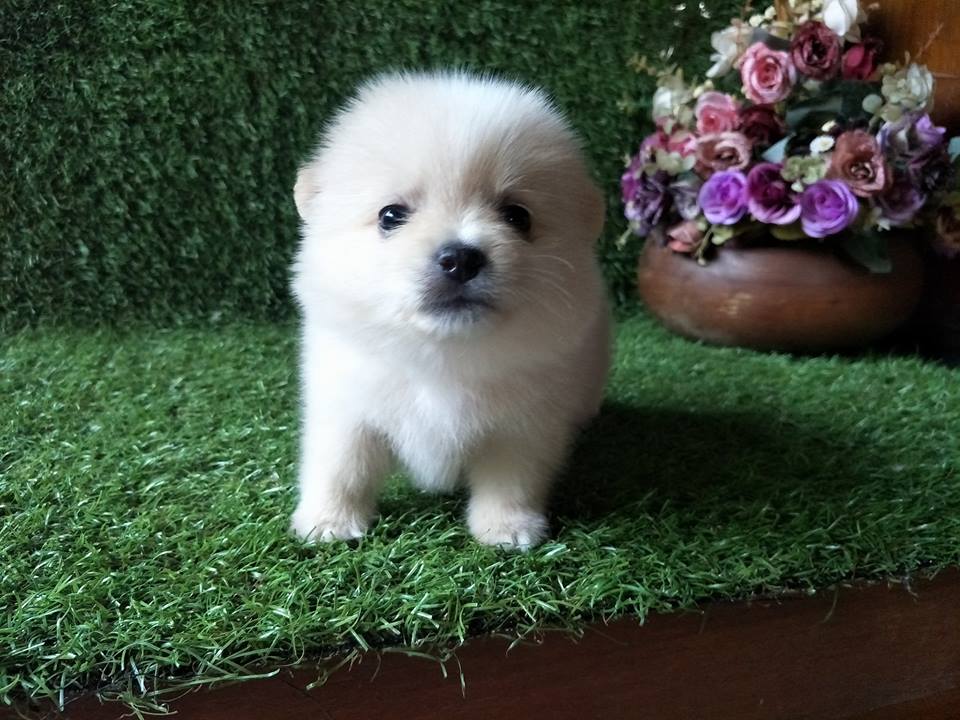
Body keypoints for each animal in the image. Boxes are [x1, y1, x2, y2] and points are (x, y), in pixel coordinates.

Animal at [289, 71, 610, 548]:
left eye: (518, 216)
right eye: (390, 216)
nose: (460, 258)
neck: (443, 356)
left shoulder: (525, 425)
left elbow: (511, 480)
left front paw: (507, 527)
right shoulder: (346, 407)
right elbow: (341, 466)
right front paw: (329, 521)